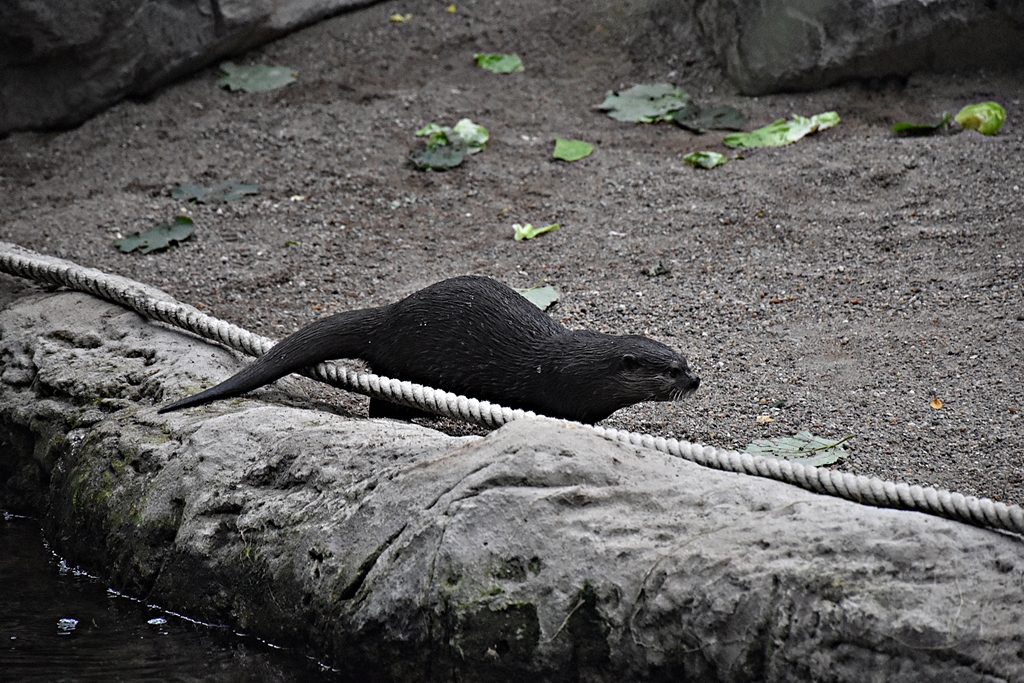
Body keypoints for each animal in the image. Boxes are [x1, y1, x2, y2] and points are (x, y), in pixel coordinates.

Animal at [158, 276, 700, 424]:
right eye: (670, 370)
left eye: (686, 361)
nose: (695, 380)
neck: (574, 367)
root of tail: (387, 318)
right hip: (404, 358)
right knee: (382, 401)